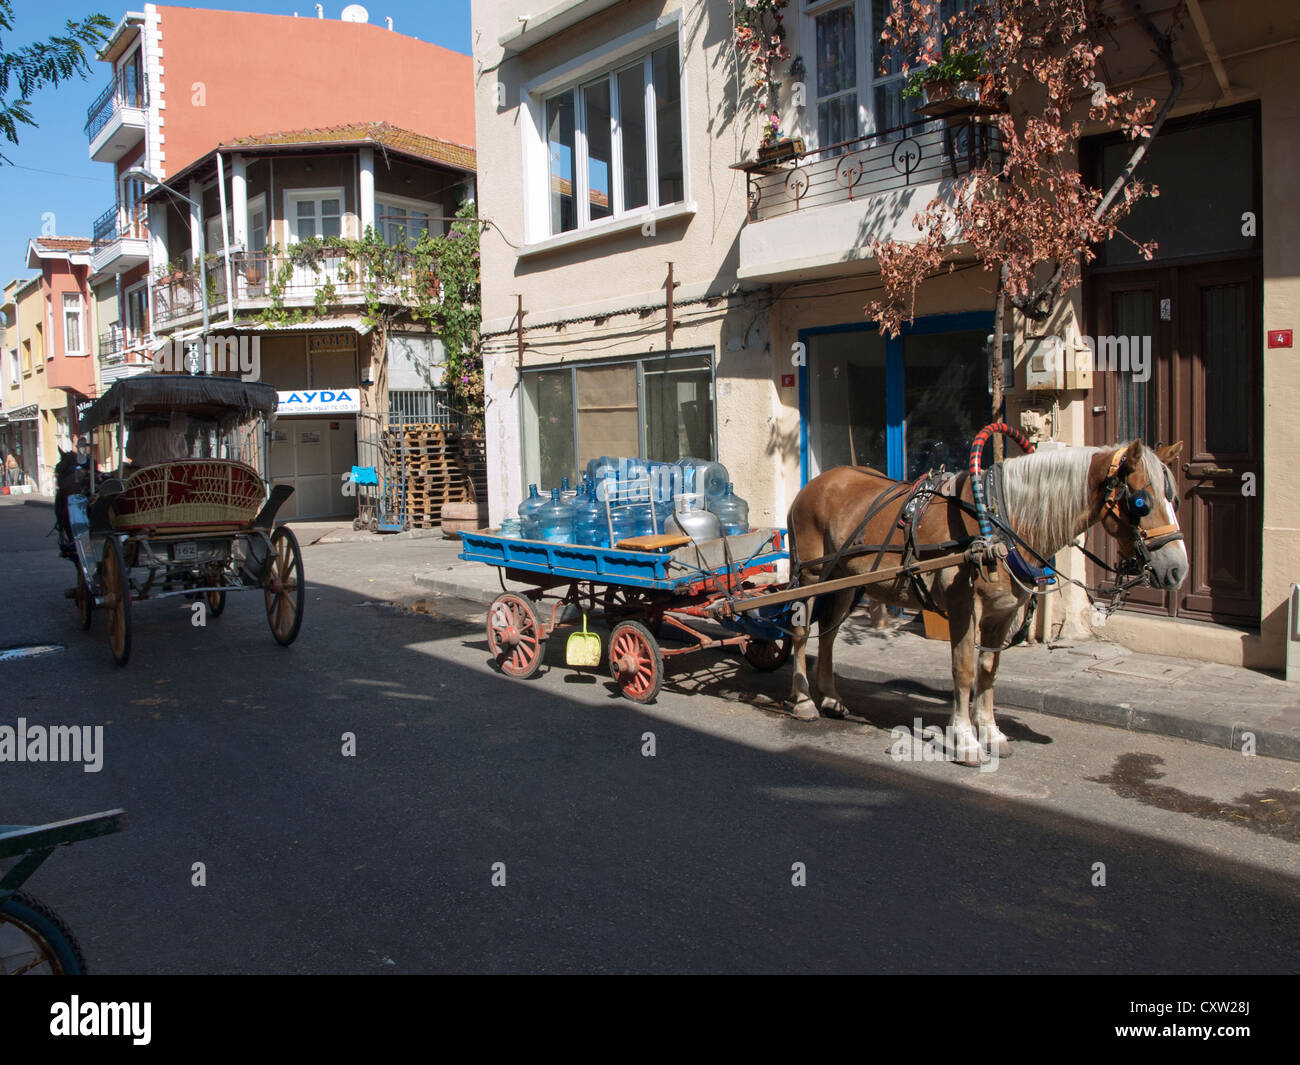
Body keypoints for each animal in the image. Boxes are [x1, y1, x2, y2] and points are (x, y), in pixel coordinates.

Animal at [780, 442, 1190, 764]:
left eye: (1174, 498)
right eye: (1141, 502)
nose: (1177, 570)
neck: (998, 521)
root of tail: (814, 485)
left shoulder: (1002, 611)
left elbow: (988, 671)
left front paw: (992, 733)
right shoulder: (964, 607)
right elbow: (963, 670)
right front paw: (965, 740)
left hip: (844, 582)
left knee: (828, 635)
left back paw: (831, 698)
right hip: (811, 577)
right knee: (800, 635)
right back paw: (803, 701)